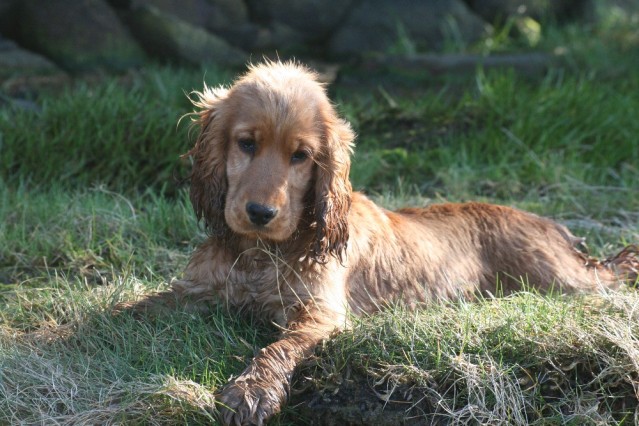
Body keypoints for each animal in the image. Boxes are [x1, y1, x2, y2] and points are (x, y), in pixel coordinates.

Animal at [132, 61, 636, 424]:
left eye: (301, 156)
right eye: (246, 144)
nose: (259, 213)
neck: (261, 254)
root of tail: (550, 224)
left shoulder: (318, 314)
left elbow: (278, 349)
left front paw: (250, 391)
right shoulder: (194, 291)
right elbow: (132, 310)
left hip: (565, 280)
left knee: (613, 271)